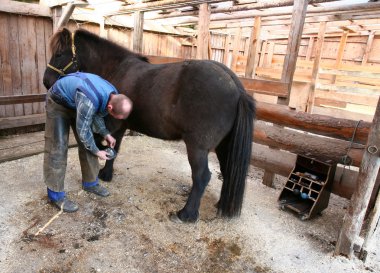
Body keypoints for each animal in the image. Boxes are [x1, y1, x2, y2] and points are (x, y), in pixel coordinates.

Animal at [42, 28, 255, 221]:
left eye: (59, 54)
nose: (46, 81)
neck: (116, 68)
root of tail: (235, 85)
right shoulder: (121, 126)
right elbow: (114, 148)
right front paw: (106, 173)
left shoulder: (113, 122)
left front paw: (103, 173)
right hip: (224, 146)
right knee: (227, 171)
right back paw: (220, 204)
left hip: (197, 147)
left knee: (202, 177)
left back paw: (186, 214)